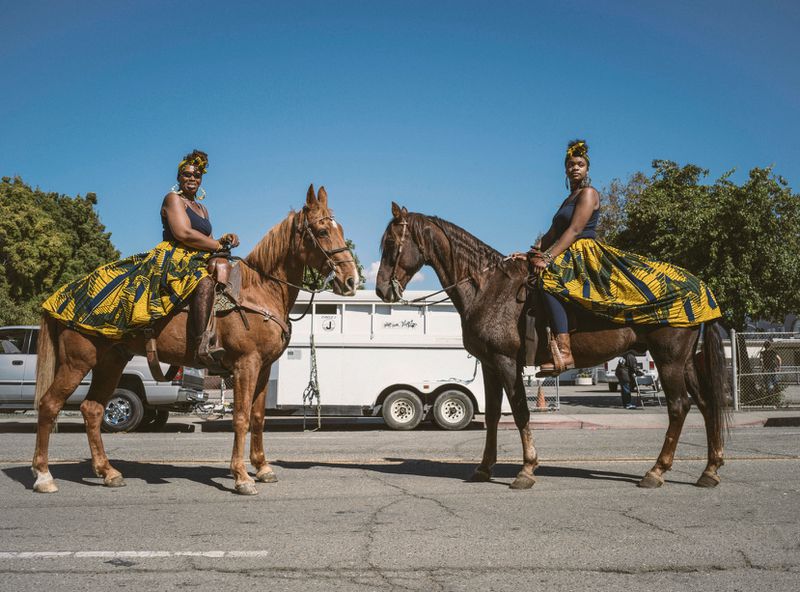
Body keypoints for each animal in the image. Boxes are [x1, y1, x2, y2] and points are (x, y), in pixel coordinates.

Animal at [31, 185, 356, 494]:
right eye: (323, 231)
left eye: (340, 229)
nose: (350, 279)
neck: (260, 290)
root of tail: (60, 296)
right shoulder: (245, 365)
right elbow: (241, 417)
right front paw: (241, 477)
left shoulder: (263, 368)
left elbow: (258, 417)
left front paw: (263, 468)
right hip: (77, 361)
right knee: (49, 405)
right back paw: (44, 476)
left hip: (110, 361)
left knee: (93, 409)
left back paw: (108, 472)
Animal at [376, 204, 732, 490]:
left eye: (391, 243)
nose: (381, 290)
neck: (489, 289)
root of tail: (702, 288)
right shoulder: (490, 365)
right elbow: (493, 416)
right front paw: (484, 468)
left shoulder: (506, 362)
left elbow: (520, 412)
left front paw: (527, 469)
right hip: (685, 362)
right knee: (705, 404)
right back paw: (710, 470)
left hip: (669, 360)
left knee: (679, 407)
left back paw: (656, 471)